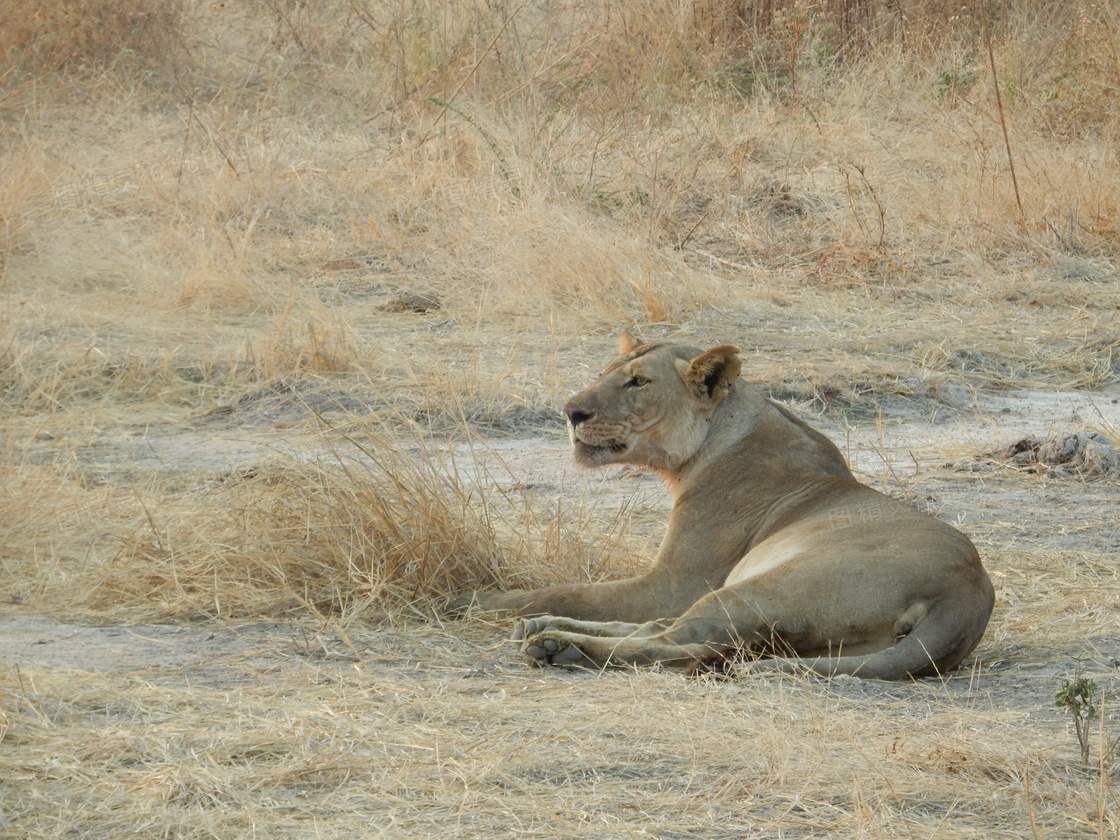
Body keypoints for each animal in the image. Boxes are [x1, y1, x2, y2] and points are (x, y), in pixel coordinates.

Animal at [454, 331, 999, 680]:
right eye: (605, 372)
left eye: (638, 382)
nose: (571, 412)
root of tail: (967, 594)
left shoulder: (673, 584)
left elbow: (569, 589)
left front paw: (473, 602)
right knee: (676, 637)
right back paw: (548, 632)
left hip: (759, 588)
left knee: (677, 640)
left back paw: (558, 648)